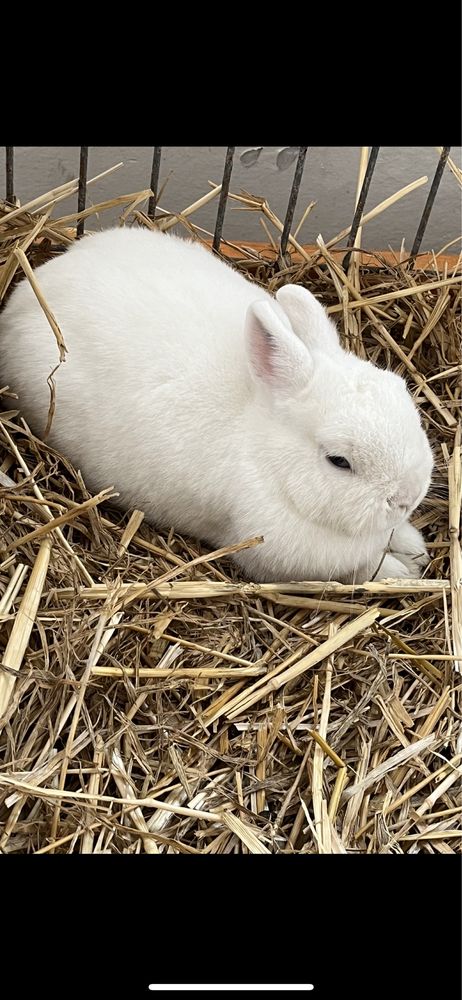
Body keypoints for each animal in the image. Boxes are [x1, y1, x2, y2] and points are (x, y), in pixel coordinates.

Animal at [0, 225, 434, 584]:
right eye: (338, 461)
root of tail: (24, 296)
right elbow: (363, 568)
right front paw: (404, 569)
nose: (406, 498)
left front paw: (415, 547)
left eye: (400, 389)